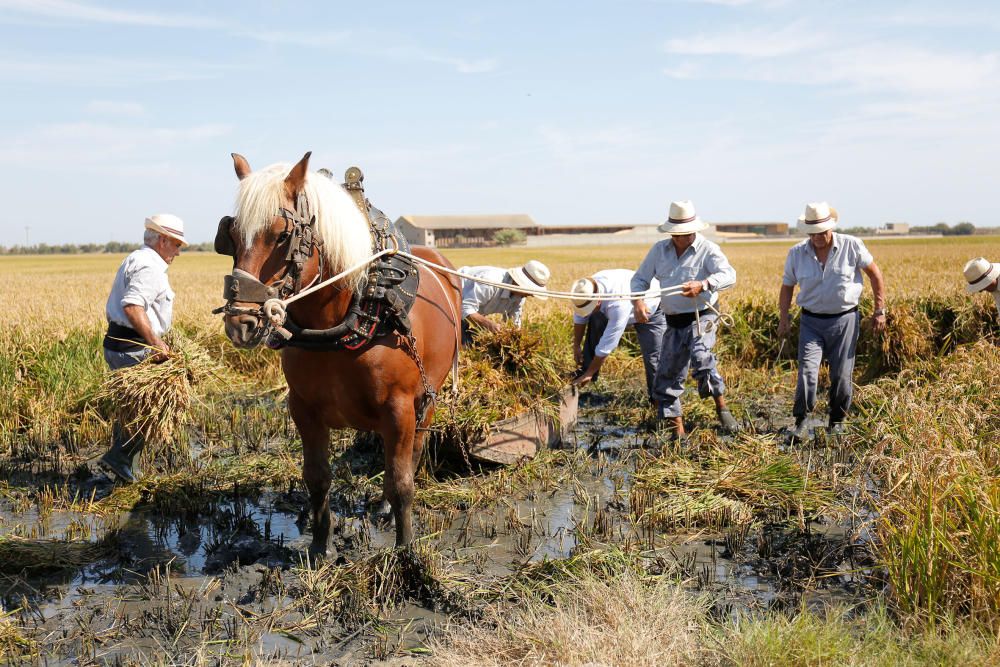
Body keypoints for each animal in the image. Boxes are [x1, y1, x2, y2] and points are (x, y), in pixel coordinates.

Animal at [219, 151, 460, 552]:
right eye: (231, 235)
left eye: (281, 235)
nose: (241, 322)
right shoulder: (303, 408)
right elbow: (317, 478)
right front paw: (320, 546)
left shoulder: (400, 408)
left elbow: (402, 482)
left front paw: (406, 551)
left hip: (428, 397)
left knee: (412, 452)